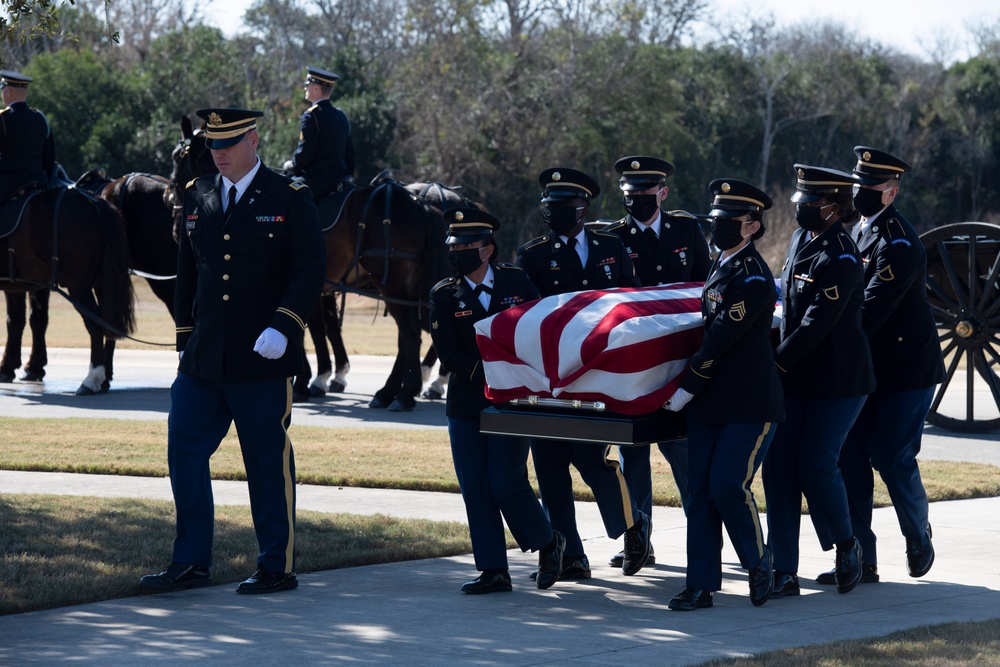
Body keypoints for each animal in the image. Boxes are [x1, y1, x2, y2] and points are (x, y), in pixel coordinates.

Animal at [0, 185, 135, 394]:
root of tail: (96, 203)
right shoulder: (23, 285)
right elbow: (22, 320)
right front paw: (13, 367)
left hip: (79, 287)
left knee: (95, 326)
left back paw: (91, 380)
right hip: (102, 285)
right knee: (108, 324)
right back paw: (104, 379)